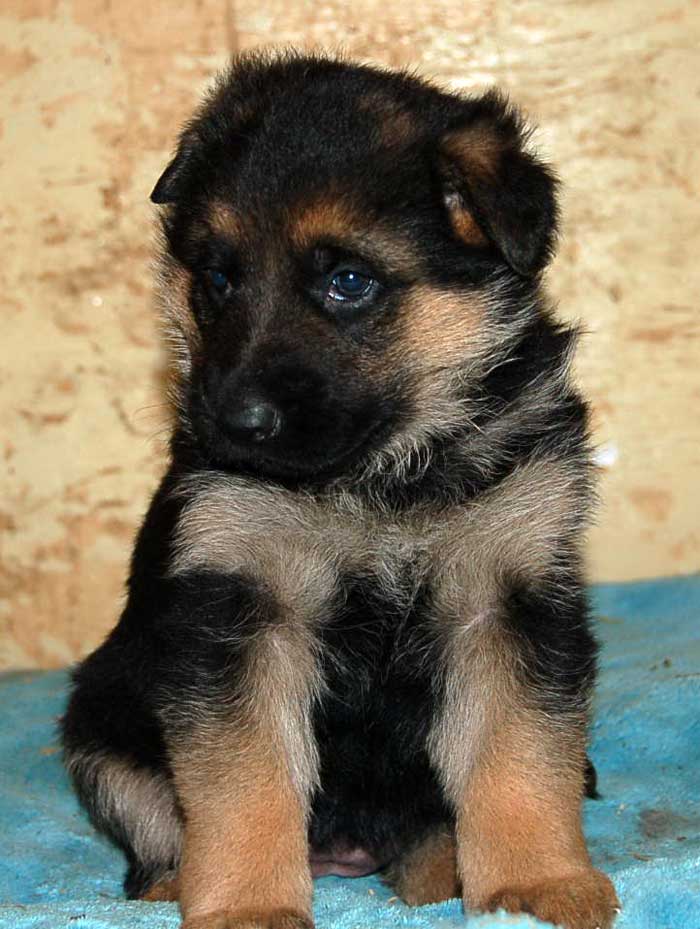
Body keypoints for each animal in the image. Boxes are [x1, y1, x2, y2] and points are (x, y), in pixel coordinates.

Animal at [61, 50, 616, 928]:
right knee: (155, 830)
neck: (384, 476)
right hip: (101, 725)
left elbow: (519, 752)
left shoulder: (506, 599)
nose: (232, 420)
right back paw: (173, 883)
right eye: (217, 279)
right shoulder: (242, 610)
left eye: (349, 282)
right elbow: (243, 780)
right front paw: (249, 904)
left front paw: (534, 883)